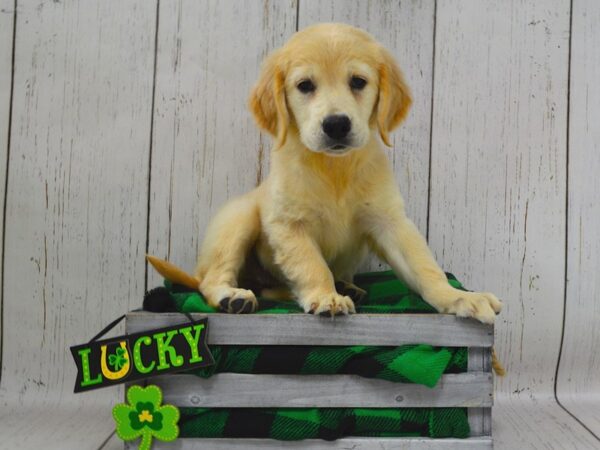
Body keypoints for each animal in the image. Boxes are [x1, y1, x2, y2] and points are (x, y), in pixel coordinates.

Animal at [193, 22, 502, 324]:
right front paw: (326, 297)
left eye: (358, 82)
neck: (335, 168)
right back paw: (233, 296)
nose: (336, 125)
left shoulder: (389, 220)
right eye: (305, 85)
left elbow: (424, 266)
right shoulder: (289, 224)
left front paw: (459, 297)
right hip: (239, 218)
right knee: (210, 278)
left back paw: (345, 285)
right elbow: (312, 265)